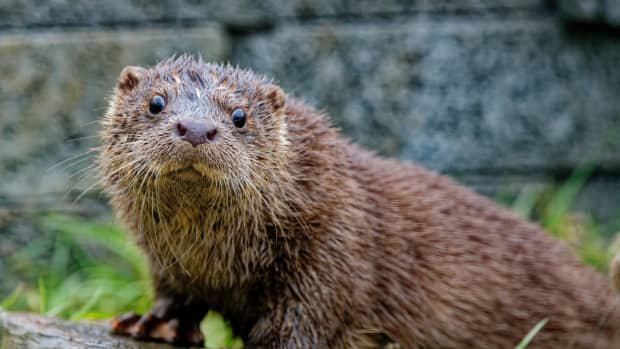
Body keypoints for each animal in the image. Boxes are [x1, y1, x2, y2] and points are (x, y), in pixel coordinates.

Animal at [101, 55, 620, 346]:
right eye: (156, 103)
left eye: (239, 115)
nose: (195, 128)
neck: (217, 261)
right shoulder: (170, 265)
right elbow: (174, 295)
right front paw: (155, 323)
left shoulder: (332, 257)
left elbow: (302, 329)